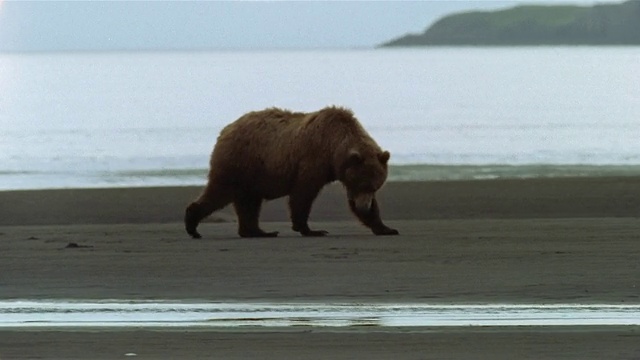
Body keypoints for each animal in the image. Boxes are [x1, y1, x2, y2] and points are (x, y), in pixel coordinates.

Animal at [182, 105, 398, 238]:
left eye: (375, 186)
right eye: (364, 184)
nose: (365, 206)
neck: (334, 147)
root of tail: (225, 130)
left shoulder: (344, 171)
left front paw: (386, 227)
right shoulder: (313, 159)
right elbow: (303, 194)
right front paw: (311, 229)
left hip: (252, 174)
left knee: (249, 202)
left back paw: (259, 232)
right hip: (240, 162)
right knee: (220, 192)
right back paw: (192, 225)